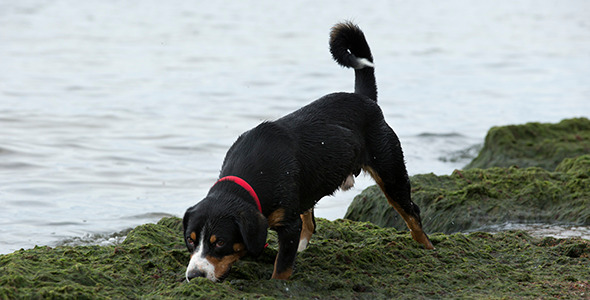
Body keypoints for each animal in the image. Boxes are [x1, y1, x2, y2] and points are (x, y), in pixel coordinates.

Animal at [183, 22, 432, 282]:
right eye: (190, 241)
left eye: (220, 242)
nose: (194, 275)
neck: (254, 176)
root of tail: (364, 98)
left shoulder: (289, 225)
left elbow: (282, 266)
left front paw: (277, 284)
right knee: (310, 223)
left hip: (390, 173)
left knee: (412, 214)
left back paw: (427, 248)